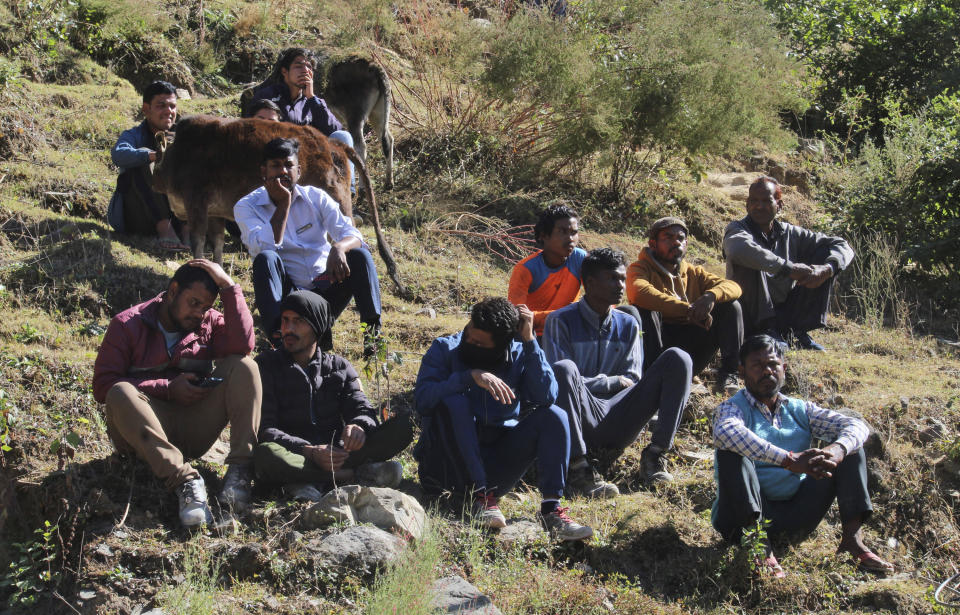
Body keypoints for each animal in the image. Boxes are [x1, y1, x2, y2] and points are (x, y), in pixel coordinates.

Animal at [153, 116, 404, 298]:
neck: (180, 154)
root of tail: (331, 143)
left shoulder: (196, 203)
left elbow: (197, 242)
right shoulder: (214, 212)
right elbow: (216, 244)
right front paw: (218, 270)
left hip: (340, 202)